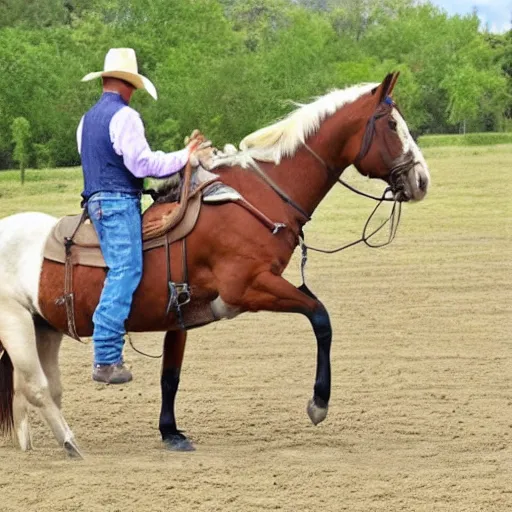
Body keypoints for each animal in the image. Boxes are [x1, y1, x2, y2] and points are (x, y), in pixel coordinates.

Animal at [0, 72, 430, 456]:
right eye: (392, 123)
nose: (422, 180)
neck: (255, 198)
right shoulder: (249, 288)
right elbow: (320, 318)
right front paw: (318, 404)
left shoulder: (180, 317)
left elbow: (170, 376)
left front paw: (171, 433)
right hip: (17, 325)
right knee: (36, 387)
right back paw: (71, 443)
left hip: (45, 328)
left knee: (37, 389)